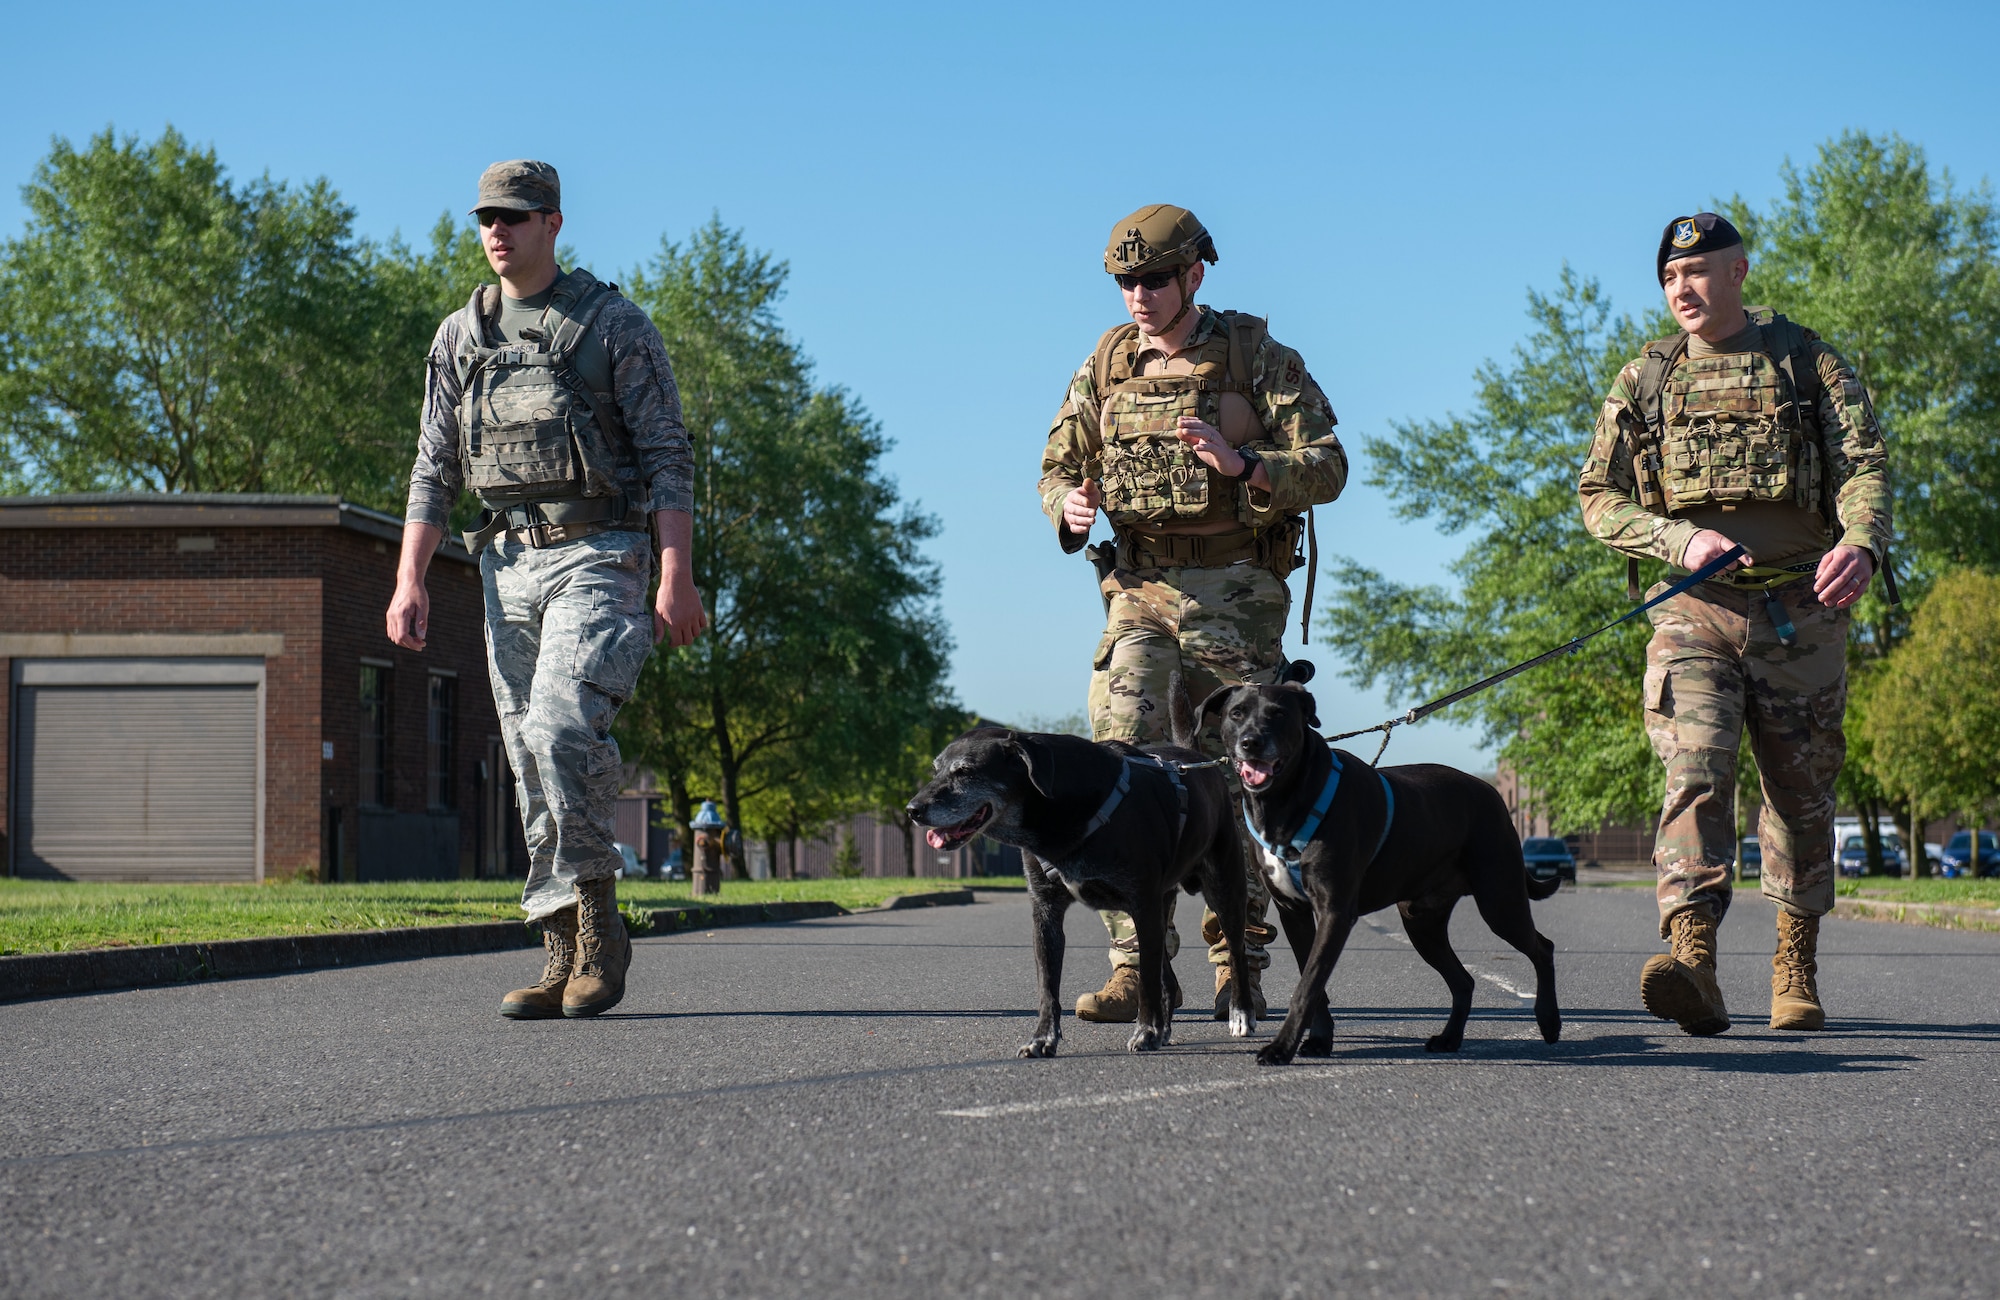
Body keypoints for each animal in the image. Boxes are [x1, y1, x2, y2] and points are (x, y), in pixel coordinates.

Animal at [908, 720, 1248, 1056]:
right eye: (935, 770)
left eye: (965, 771)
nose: (913, 809)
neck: (1058, 809)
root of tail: (1194, 758)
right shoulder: (1046, 913)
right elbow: (1048, 988)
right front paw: (1043, 1038)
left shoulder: (1142, 904)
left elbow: (1148, 982)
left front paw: (1145, 1032)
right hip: (1161, 909)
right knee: (1165, 970)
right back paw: (1164, 1028)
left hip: (1223, 888)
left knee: (1234, 950)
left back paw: (1240, 1014)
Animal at [1200, 664, 1560, 1056]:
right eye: (1237, 714)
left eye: (1279, 714)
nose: (1251, 742)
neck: (1285, 799)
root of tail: (1491, 792)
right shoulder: (1294, 913)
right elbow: (1314, 985)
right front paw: (1319, 1040)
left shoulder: (1335, 912)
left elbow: (1308, 985)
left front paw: (1282, 1048)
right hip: (1422, 921)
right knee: (1464, 980)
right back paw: (1449, 1037)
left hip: (1500, 901)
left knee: (1542, 947)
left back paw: (1549, 1021)